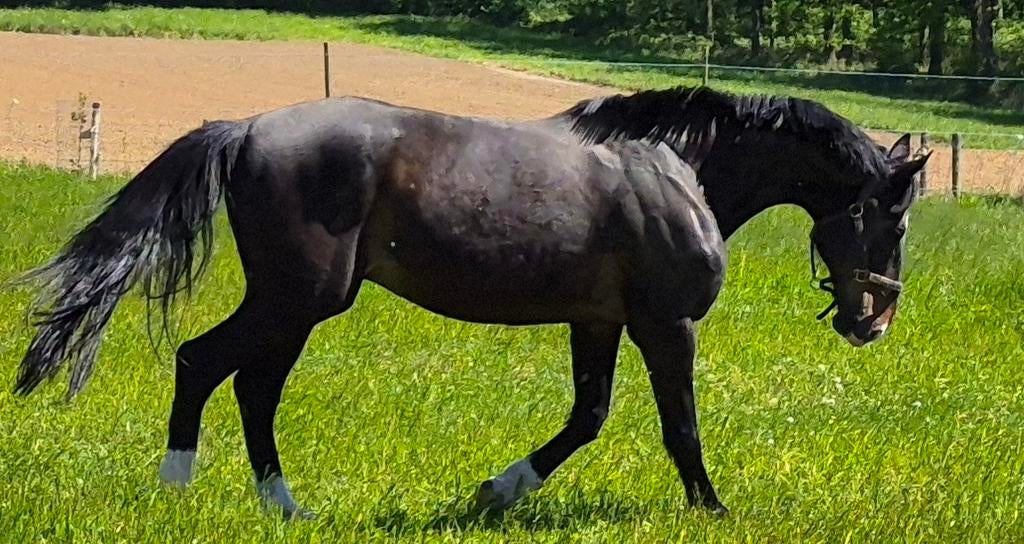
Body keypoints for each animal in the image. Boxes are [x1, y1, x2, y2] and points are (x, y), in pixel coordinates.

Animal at [11, 85, 927, 519]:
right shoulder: (666, 326)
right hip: (298, 299)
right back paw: (182, 488)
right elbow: (680, 428)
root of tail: (245, 129)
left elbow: (588, 417)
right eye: (895, 217)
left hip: (297, 305)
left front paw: (496, 492)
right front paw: (713, 508)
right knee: (207, 364)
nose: (874, 322)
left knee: (249, 387)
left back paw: (284, 504)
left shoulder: (597, 320)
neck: (679, 169)